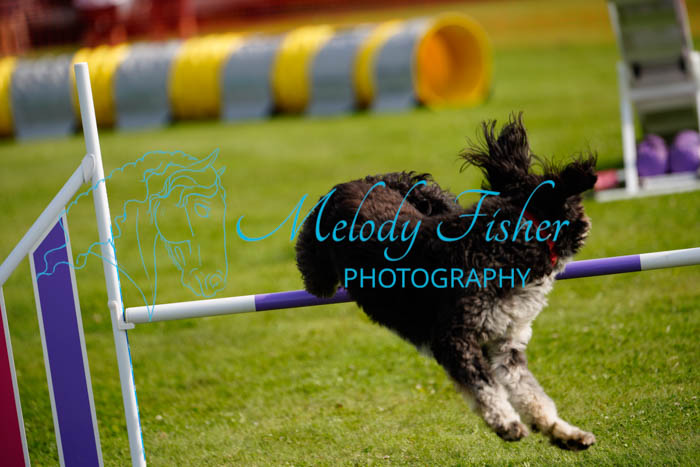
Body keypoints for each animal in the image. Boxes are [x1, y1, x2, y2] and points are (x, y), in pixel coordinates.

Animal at [295, 115, 597, 450]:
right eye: (577, 206)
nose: (588, 224)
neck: (506, 244)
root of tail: (366, 178)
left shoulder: (505, 346)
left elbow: (532, 394)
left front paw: (564, 433)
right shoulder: (453, 337)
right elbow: (484, 385)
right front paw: (505, 423)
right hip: (317, 268)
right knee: (316, 280)